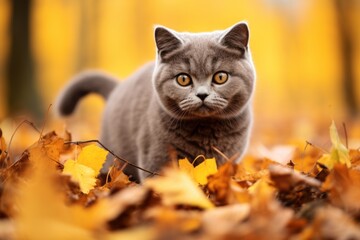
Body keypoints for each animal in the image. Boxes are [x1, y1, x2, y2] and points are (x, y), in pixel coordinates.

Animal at [55, 22, 256, 182]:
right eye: (183, 79)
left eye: (220, 77)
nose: (202, 94)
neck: (206, 131)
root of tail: (117, 87)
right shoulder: (156, 156)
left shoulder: (229, 160)